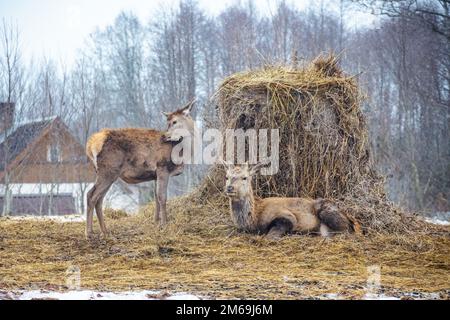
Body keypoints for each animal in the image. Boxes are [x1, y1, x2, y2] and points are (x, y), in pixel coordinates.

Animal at [85, 101, 196, 239]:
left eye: (174, 121)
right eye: (168, 122)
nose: (165, 136)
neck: (182, 152)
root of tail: (90, 145)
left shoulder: (155, 175)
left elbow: (156, 197)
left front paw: (156, 222)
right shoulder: (162, 167)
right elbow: (162, 197)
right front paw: (164, 225)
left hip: (106, 173)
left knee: (99, 199)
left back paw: (105, 231)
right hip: (108, 171)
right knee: (91, 195)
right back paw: (89, 232)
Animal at [223, 162, 360, 238]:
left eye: (244, 177)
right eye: (227, 177)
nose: (230, 187)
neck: (253, 219)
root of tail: (353, 220)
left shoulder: (287, 216)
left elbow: (270, 236)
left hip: (327, 212)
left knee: (347, 232)